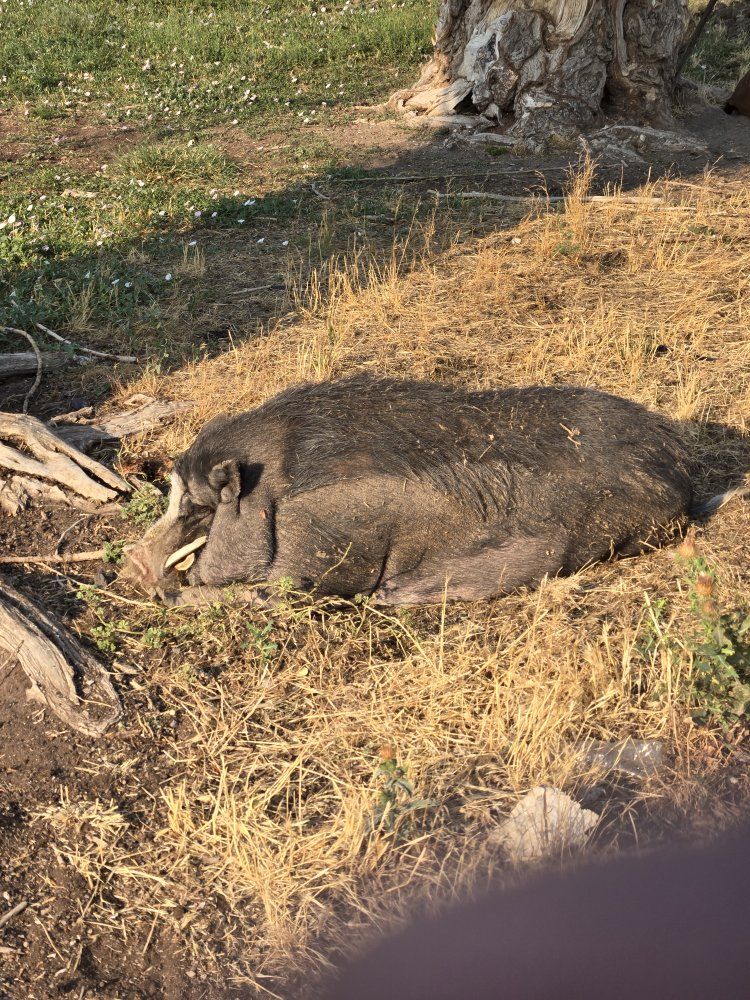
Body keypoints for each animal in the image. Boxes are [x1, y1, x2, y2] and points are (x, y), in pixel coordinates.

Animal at [123, 375, 701, 608]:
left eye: (197, 507)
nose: (132, 561)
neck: (274, 491)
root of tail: (681, 469)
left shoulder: (317, 559)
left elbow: (270, 592)